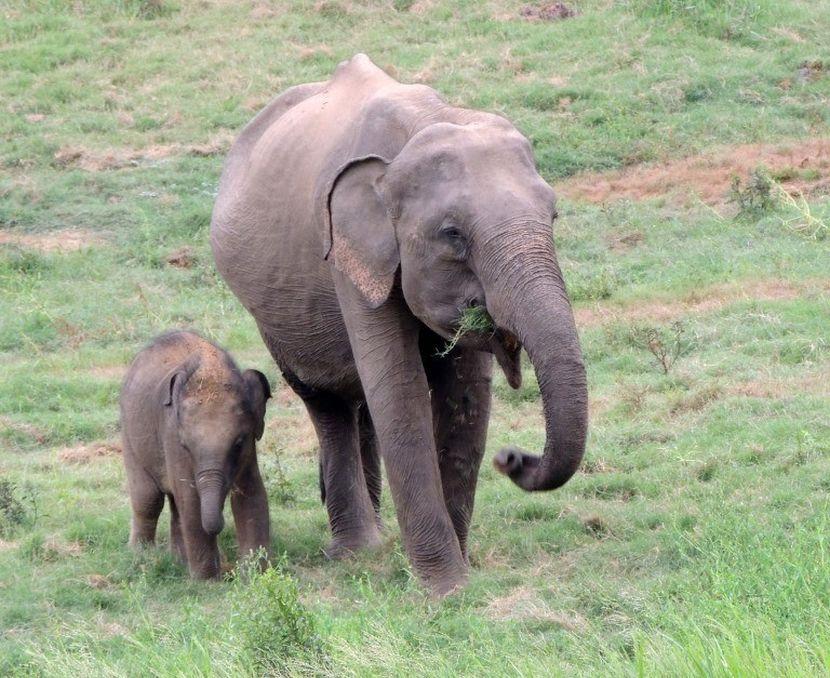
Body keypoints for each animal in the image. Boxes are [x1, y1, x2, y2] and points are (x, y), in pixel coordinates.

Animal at [122, 330, 272, 580]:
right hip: (129, 436)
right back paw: (141, 555)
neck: (211, 368)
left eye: (238, 443)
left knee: (174, 505)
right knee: (148, 498)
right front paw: (208, 581)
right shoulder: (171, 435)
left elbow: (251, 492)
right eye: (185, 445)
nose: (228, 568)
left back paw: (179, 561)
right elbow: (190, 500)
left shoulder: (250, 447)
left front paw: (254, 574)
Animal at [214, 54, 592, 596]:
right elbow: (400, 390)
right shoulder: (349, 253)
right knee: (325, 402)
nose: (512, 458)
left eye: (554, 215)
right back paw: (358, 551)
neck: (421, 127)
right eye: (452, 235)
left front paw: (457, 574)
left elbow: (464, 398)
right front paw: (445, 590)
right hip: (273, 313)